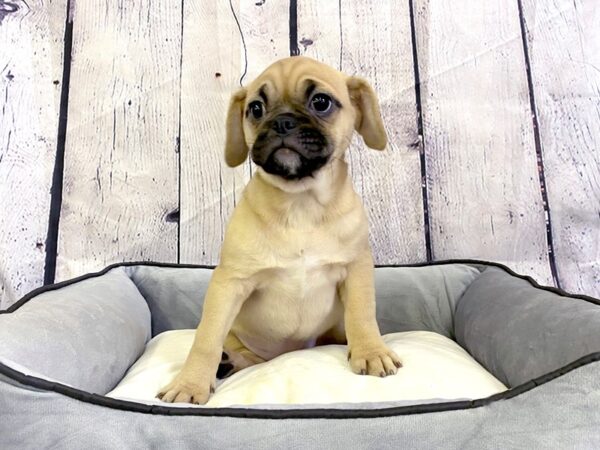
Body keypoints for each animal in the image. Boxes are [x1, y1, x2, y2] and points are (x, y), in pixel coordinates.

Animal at [159, 55, 404, 404]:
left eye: (321, 102)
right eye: (256, 108)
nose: (283, 123)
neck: (300, 203)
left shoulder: (356, 269)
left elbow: (362, 314)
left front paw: (371, 352)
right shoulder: (229, 284)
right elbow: (206, 338)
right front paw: (190, 384)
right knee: (239, 353)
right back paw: (229, 362)